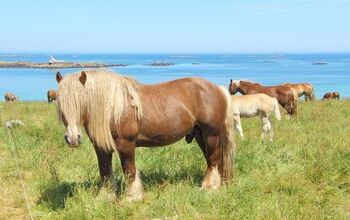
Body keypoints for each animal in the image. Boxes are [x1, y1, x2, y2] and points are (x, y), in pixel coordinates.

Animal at [55, 69, 235, 201]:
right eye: (61, 105)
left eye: (81, 101)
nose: (72, 139)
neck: (113, 107)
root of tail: (217, 88)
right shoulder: (101, 148)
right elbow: (105, 171)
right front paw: (105, 197)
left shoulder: (125, 144)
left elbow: (129, 170)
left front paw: (132, 197)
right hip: (200, 134)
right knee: (212, 160)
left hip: (211, 134)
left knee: (213, 160)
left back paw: (209, 187)